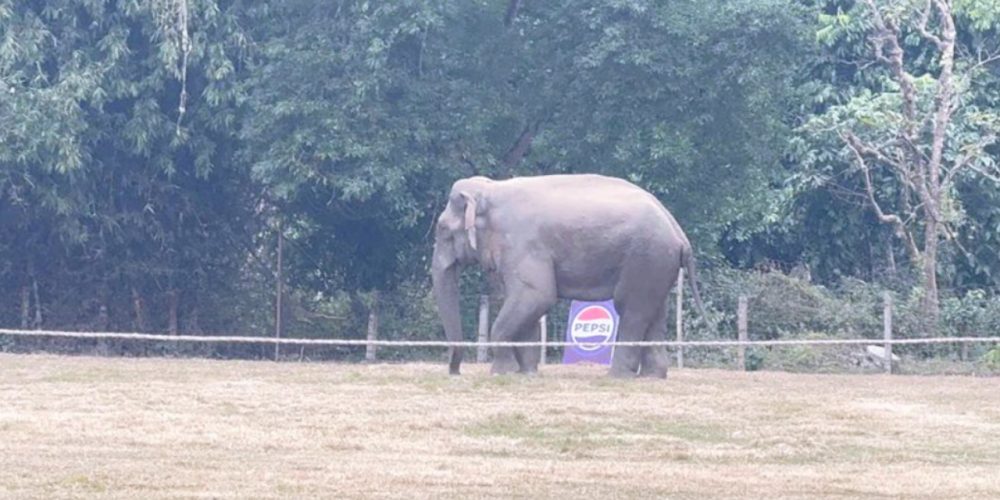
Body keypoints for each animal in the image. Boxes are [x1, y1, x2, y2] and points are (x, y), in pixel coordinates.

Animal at [431, 174, 706, 378]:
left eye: (443, 229)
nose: (455, 372)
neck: (491, 189)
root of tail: (679, 233)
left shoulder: (522, 244)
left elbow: (536, 295)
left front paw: (501, 372)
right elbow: (527, 303)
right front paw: (526, 374)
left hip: (645, 258)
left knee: (631, 310)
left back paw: (616, 376)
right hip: (657, 264)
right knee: (655, 312)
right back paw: (651, 376)